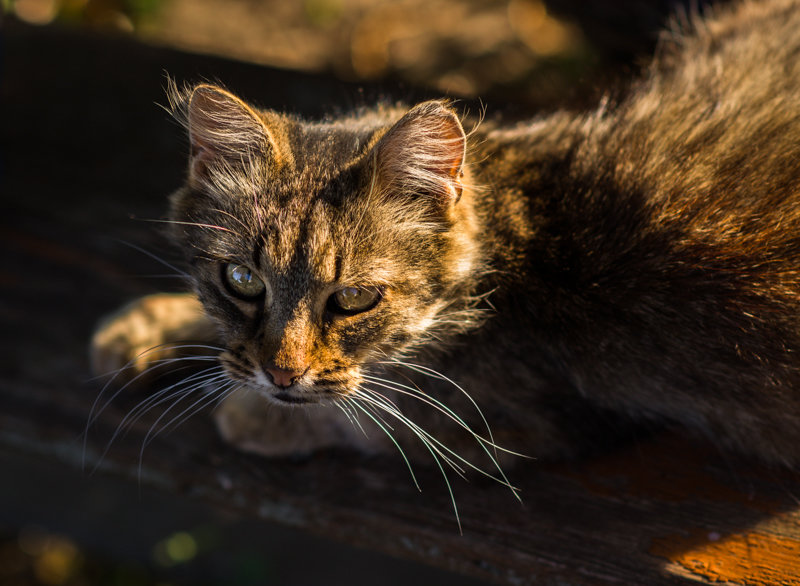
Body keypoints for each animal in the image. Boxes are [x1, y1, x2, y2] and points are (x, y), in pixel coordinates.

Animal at [90, 0, 800, 488]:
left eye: (355, 299)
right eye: (241, 281)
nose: (281, 374)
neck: (513, 235)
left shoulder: (524, 420)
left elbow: (361, 416)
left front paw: (255, 414)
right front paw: (154, 327)